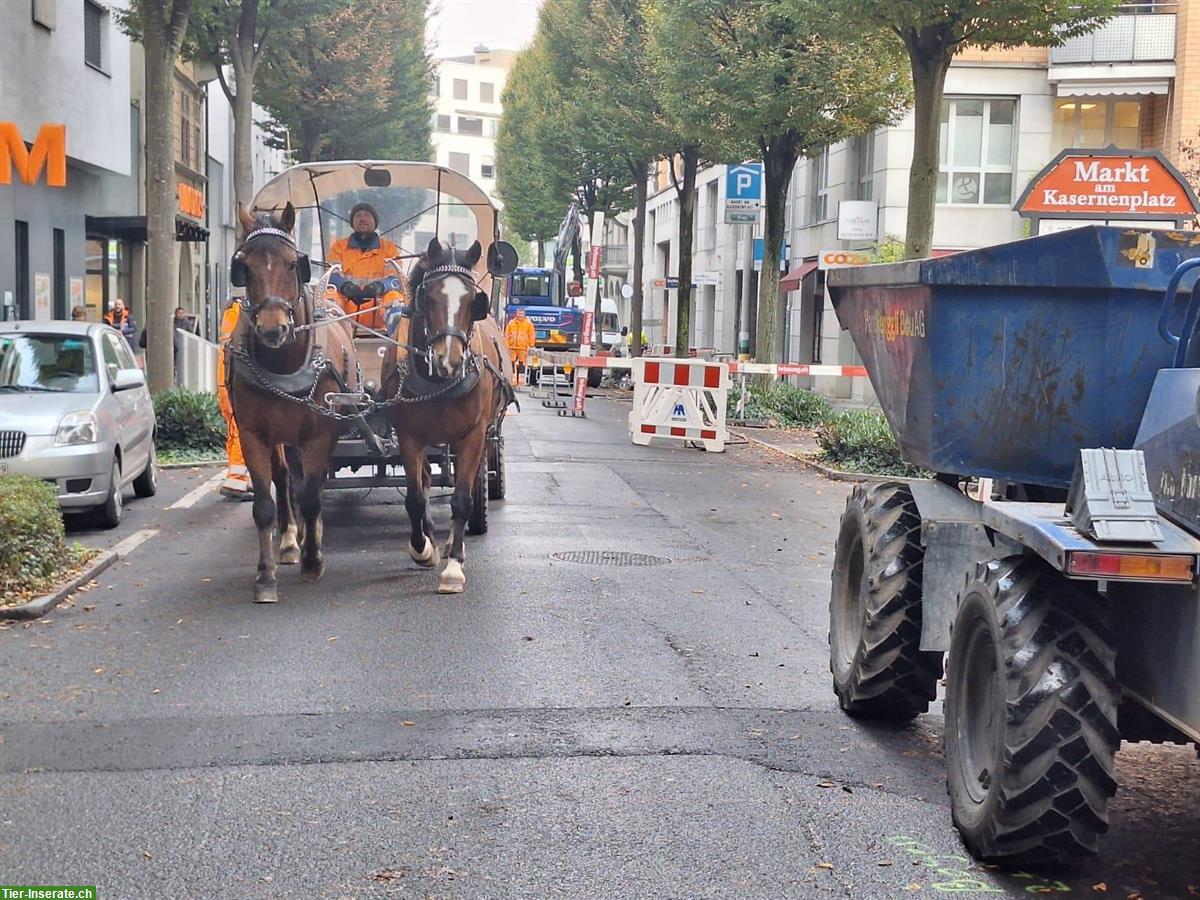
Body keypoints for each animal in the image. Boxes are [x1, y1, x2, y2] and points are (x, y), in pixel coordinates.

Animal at [228, 204, 360, 607]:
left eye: (292, 264)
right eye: (245, 266)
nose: (273, 329)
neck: (285, 363)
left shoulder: (320, 433)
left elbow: (313, 496)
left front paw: (314, 561)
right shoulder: (253, 435)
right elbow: (264, 504)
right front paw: (266, 576)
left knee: (307, 487)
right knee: (286, 478)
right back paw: (289, 540)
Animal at [381, 240, 513, 595]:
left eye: (473, 300)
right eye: (429, 297)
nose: (448, 360)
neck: (437, 382)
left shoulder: (473, 435)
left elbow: (462, 499)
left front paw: (453, 567)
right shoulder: (409, 436)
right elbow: (415, 498)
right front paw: (423, 549)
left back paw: (456, 544)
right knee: (426, 481)